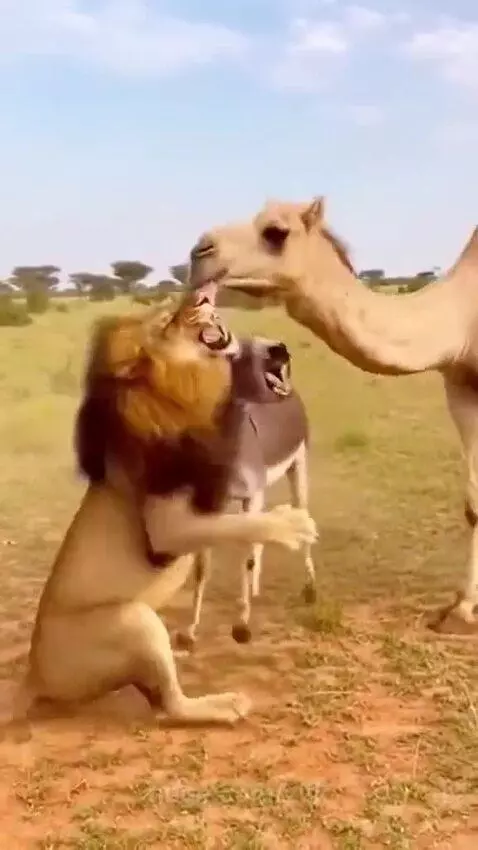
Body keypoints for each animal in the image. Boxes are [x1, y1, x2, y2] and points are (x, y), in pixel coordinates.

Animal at [15, 294, 317, 726]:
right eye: (167, 317)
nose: (278, 350)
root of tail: (33, 677)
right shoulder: (164, 528)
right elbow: (236, 526)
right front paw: (290, 524)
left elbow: (229, 533)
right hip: (134, 620)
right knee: (171, 708)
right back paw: (224, 703)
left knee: (158, 697)